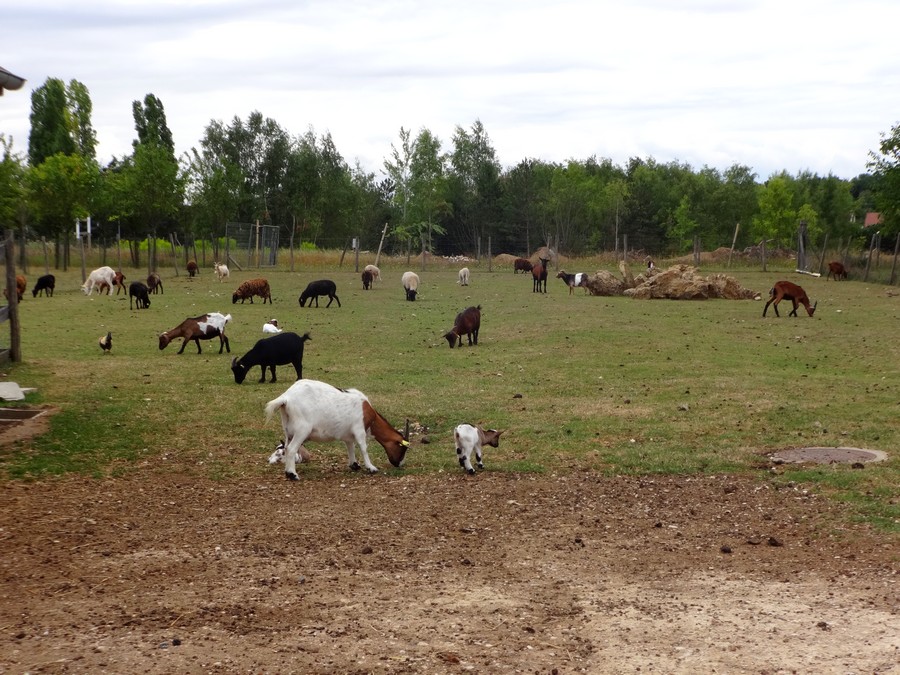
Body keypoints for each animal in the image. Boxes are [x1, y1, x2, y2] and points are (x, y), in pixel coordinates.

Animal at [266, 378, 410, 478]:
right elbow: (363, 447)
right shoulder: (359, 429)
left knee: (286, 447)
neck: (369, 414)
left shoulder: (348, 435)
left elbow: (350, 447)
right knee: (291, 449)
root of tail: (286, 398)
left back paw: (287, 472)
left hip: (288, 430)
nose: (399, 464)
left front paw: (354, 465)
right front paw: (371, 468)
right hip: (302, 430)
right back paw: (293, 475)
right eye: (402, 448)